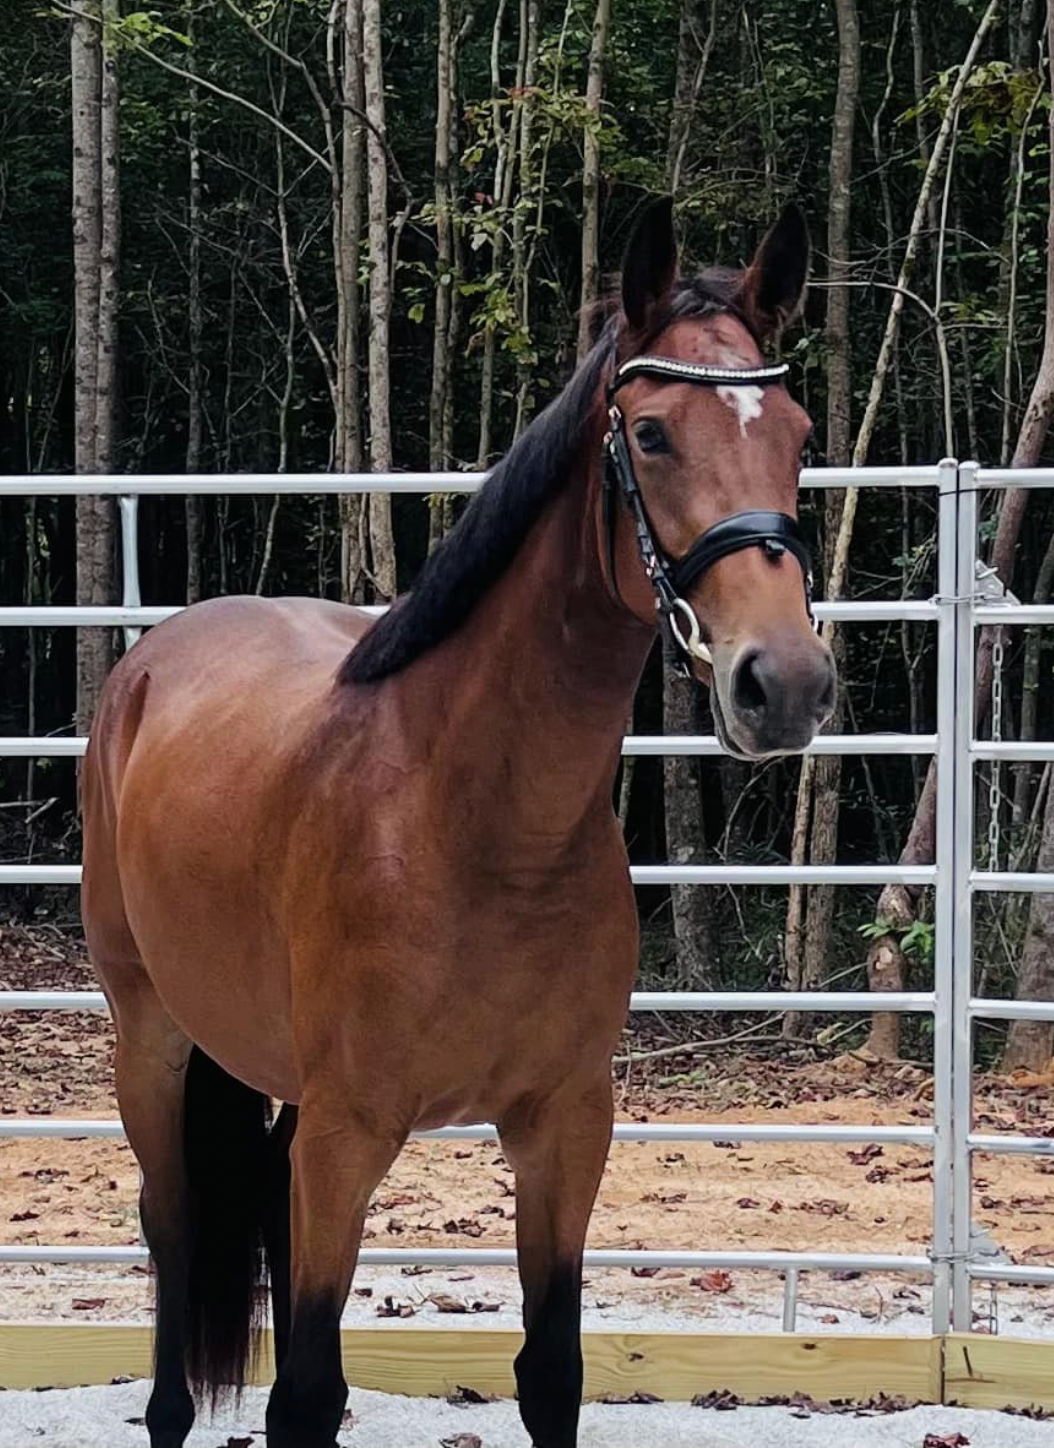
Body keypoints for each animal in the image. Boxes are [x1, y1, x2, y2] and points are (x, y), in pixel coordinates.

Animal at [81, 196, 835, 1448]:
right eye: (649, 434)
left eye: (798, 430)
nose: (783, 683)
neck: (476, 827)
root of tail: (151, 658)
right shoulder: (349, 1130)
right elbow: (306, 1393)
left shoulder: (564, 1125)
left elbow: (550, 1370)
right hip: (151, 1036)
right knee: (172, 1227)